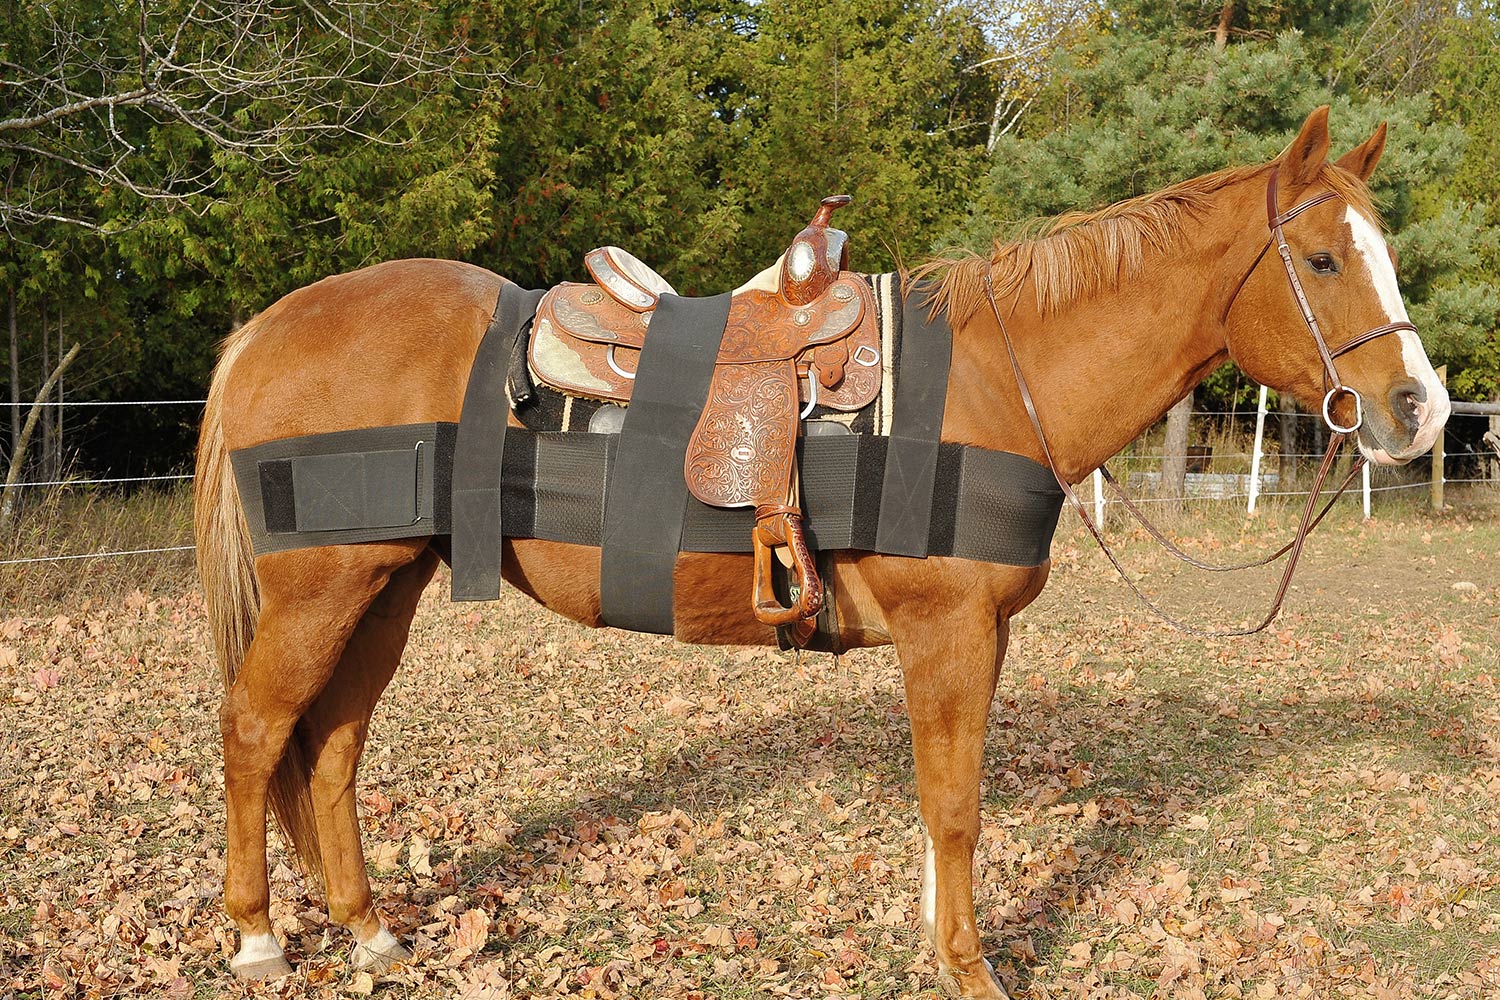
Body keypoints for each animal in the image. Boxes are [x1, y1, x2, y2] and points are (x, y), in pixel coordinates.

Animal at [193, 107, 1449, 997]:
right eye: (1324, 261)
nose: (1419, 409)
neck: (999, 380)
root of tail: (269, 325)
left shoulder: (977, 638)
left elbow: (945, 802)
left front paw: (939, 940)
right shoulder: (947, 632)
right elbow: (957, 806)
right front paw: (969, 969)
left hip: (384, 583)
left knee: (333, 745)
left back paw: (368, 930)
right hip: (324, 588)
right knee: (256, 729)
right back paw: (257, 936)